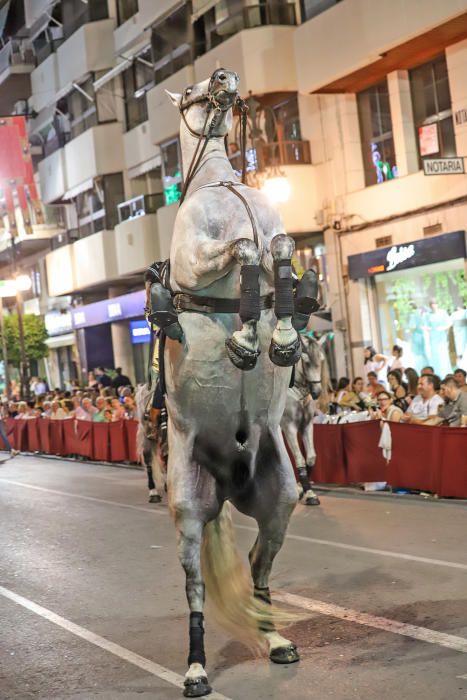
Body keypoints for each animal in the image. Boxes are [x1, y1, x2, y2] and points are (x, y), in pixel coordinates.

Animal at [161, 68, 322, 696]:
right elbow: (244, 247)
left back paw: (275, 638)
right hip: (187, 507)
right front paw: (249, 341)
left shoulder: (279, 233)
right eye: (188, 92)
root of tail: (226, 482)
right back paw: (196, 667)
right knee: (194, 589)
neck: (221, 187)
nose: (224, 76)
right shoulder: (195, 259)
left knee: (259, 566)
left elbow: (278, 247)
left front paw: (281, 335)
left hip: (278, 496)